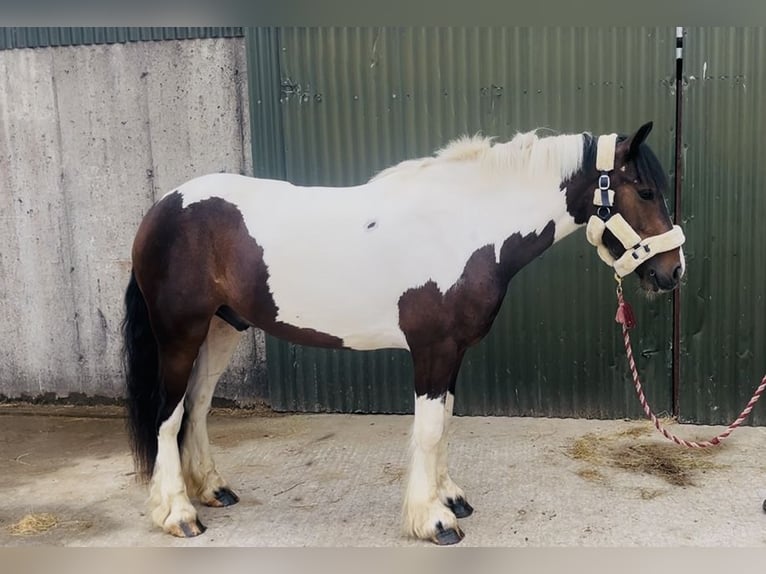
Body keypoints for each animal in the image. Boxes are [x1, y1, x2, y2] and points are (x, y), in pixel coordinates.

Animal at [122, 121, 686, 545]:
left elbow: (446, 423)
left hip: (221, 328)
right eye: (645, 190)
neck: (464, 227)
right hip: (179, 333)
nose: (673, 272)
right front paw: (434, 519)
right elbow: (430, 429)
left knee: (196, 406)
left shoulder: (453, 353)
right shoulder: (432, 350)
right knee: (168, 415)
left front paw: (449, 496)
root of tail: (164, 206)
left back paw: (212, 490)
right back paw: (178, 513)